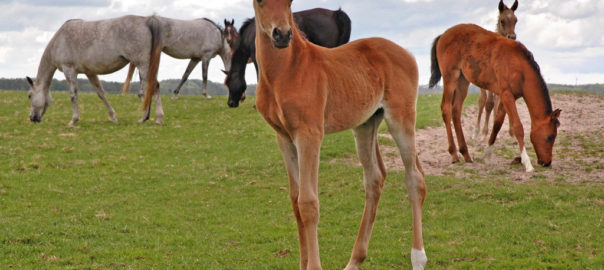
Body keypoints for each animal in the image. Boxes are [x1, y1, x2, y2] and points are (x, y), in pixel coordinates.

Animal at [27, 15, 163, 126]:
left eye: (29, 96)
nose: (32, 118)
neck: (59, 41)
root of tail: (146, 21)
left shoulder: (69, 70)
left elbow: (73, 95)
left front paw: (73, 120)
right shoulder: (90, 72)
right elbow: (101, 93)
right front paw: (112, 117)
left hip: (142, 65)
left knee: (152, 87)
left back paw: (152, 118)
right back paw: (152, 118)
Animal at [238, 1, 428, 268]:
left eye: (290, 3)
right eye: (260, 3)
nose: (282, 35)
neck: (286, 71)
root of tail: (408, 53)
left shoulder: (309, 135)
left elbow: (308, 203)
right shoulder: (284, 138)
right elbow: (295, 200)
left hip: (401, 118)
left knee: (414, 179)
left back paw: (418, 257)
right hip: (366, 124)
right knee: (375, 178)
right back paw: (354, 260)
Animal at [430, 22, 560, 171]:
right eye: (550, 137)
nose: (547, 162)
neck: (520, 67)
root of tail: (443, 35)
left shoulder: (506, 97)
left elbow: (497, 123)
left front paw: (487, 155)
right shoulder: (507, 95)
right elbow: (518, 127)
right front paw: (527, 163)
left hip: (463, 81)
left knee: (456, 110)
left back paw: (466, 154)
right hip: (450, 78)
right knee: (446, 108)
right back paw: (454, 154)